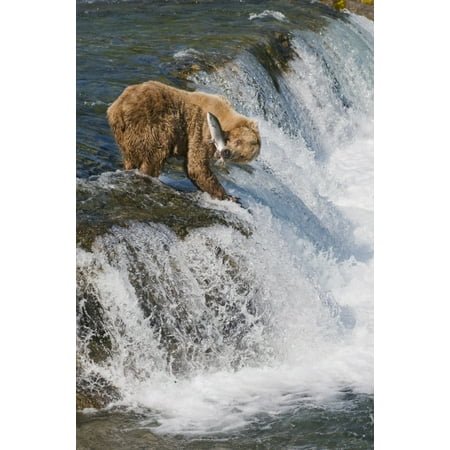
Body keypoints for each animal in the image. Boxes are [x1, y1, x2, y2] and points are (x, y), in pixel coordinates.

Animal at [107, 80, 260, 200]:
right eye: (238, 141)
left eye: (241, 156)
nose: (226, 152)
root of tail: (118, 107)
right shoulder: (201, 129)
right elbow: (197, 165)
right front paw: (227, 196)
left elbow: (191, 165)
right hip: (150, 123)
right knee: (156, 154)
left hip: (125, 135)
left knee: (132, 157)